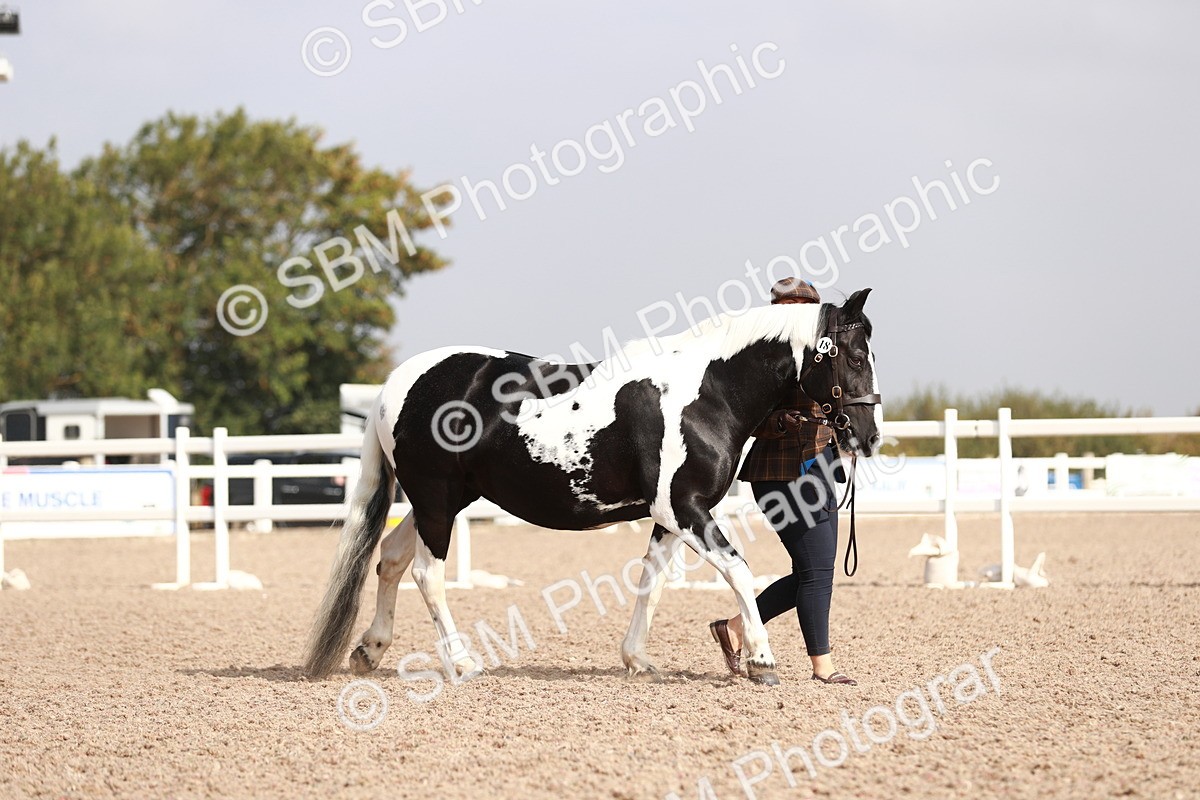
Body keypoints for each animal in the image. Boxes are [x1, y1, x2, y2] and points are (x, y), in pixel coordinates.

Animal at [303, 288, 881, 685]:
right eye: (854, 357)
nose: (869, 435)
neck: (706, 391)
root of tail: (397, 384)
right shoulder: (686, 509)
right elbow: (738, 570)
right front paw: (762, 661)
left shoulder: (669, 517)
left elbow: (652, 583)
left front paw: (638, 660)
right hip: (436, 499)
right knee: (427, 573)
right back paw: (462, 662)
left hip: (440, 500)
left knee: (391, 557)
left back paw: (370, 650)